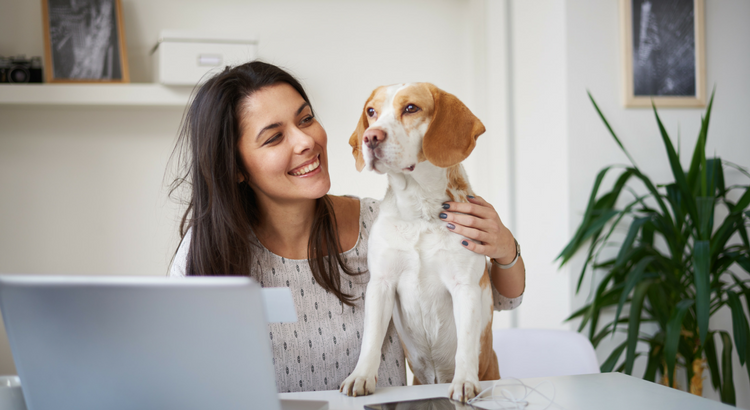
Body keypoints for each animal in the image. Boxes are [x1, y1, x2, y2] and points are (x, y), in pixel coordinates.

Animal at [344, 81, 502, 402]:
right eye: (371, 112)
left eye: (410, 108)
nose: (370, 137)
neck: (419, 211)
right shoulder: (381, 284)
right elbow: (371, 340)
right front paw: (361, 376)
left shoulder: (464, 286)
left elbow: (466, 344)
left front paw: (464, 381)